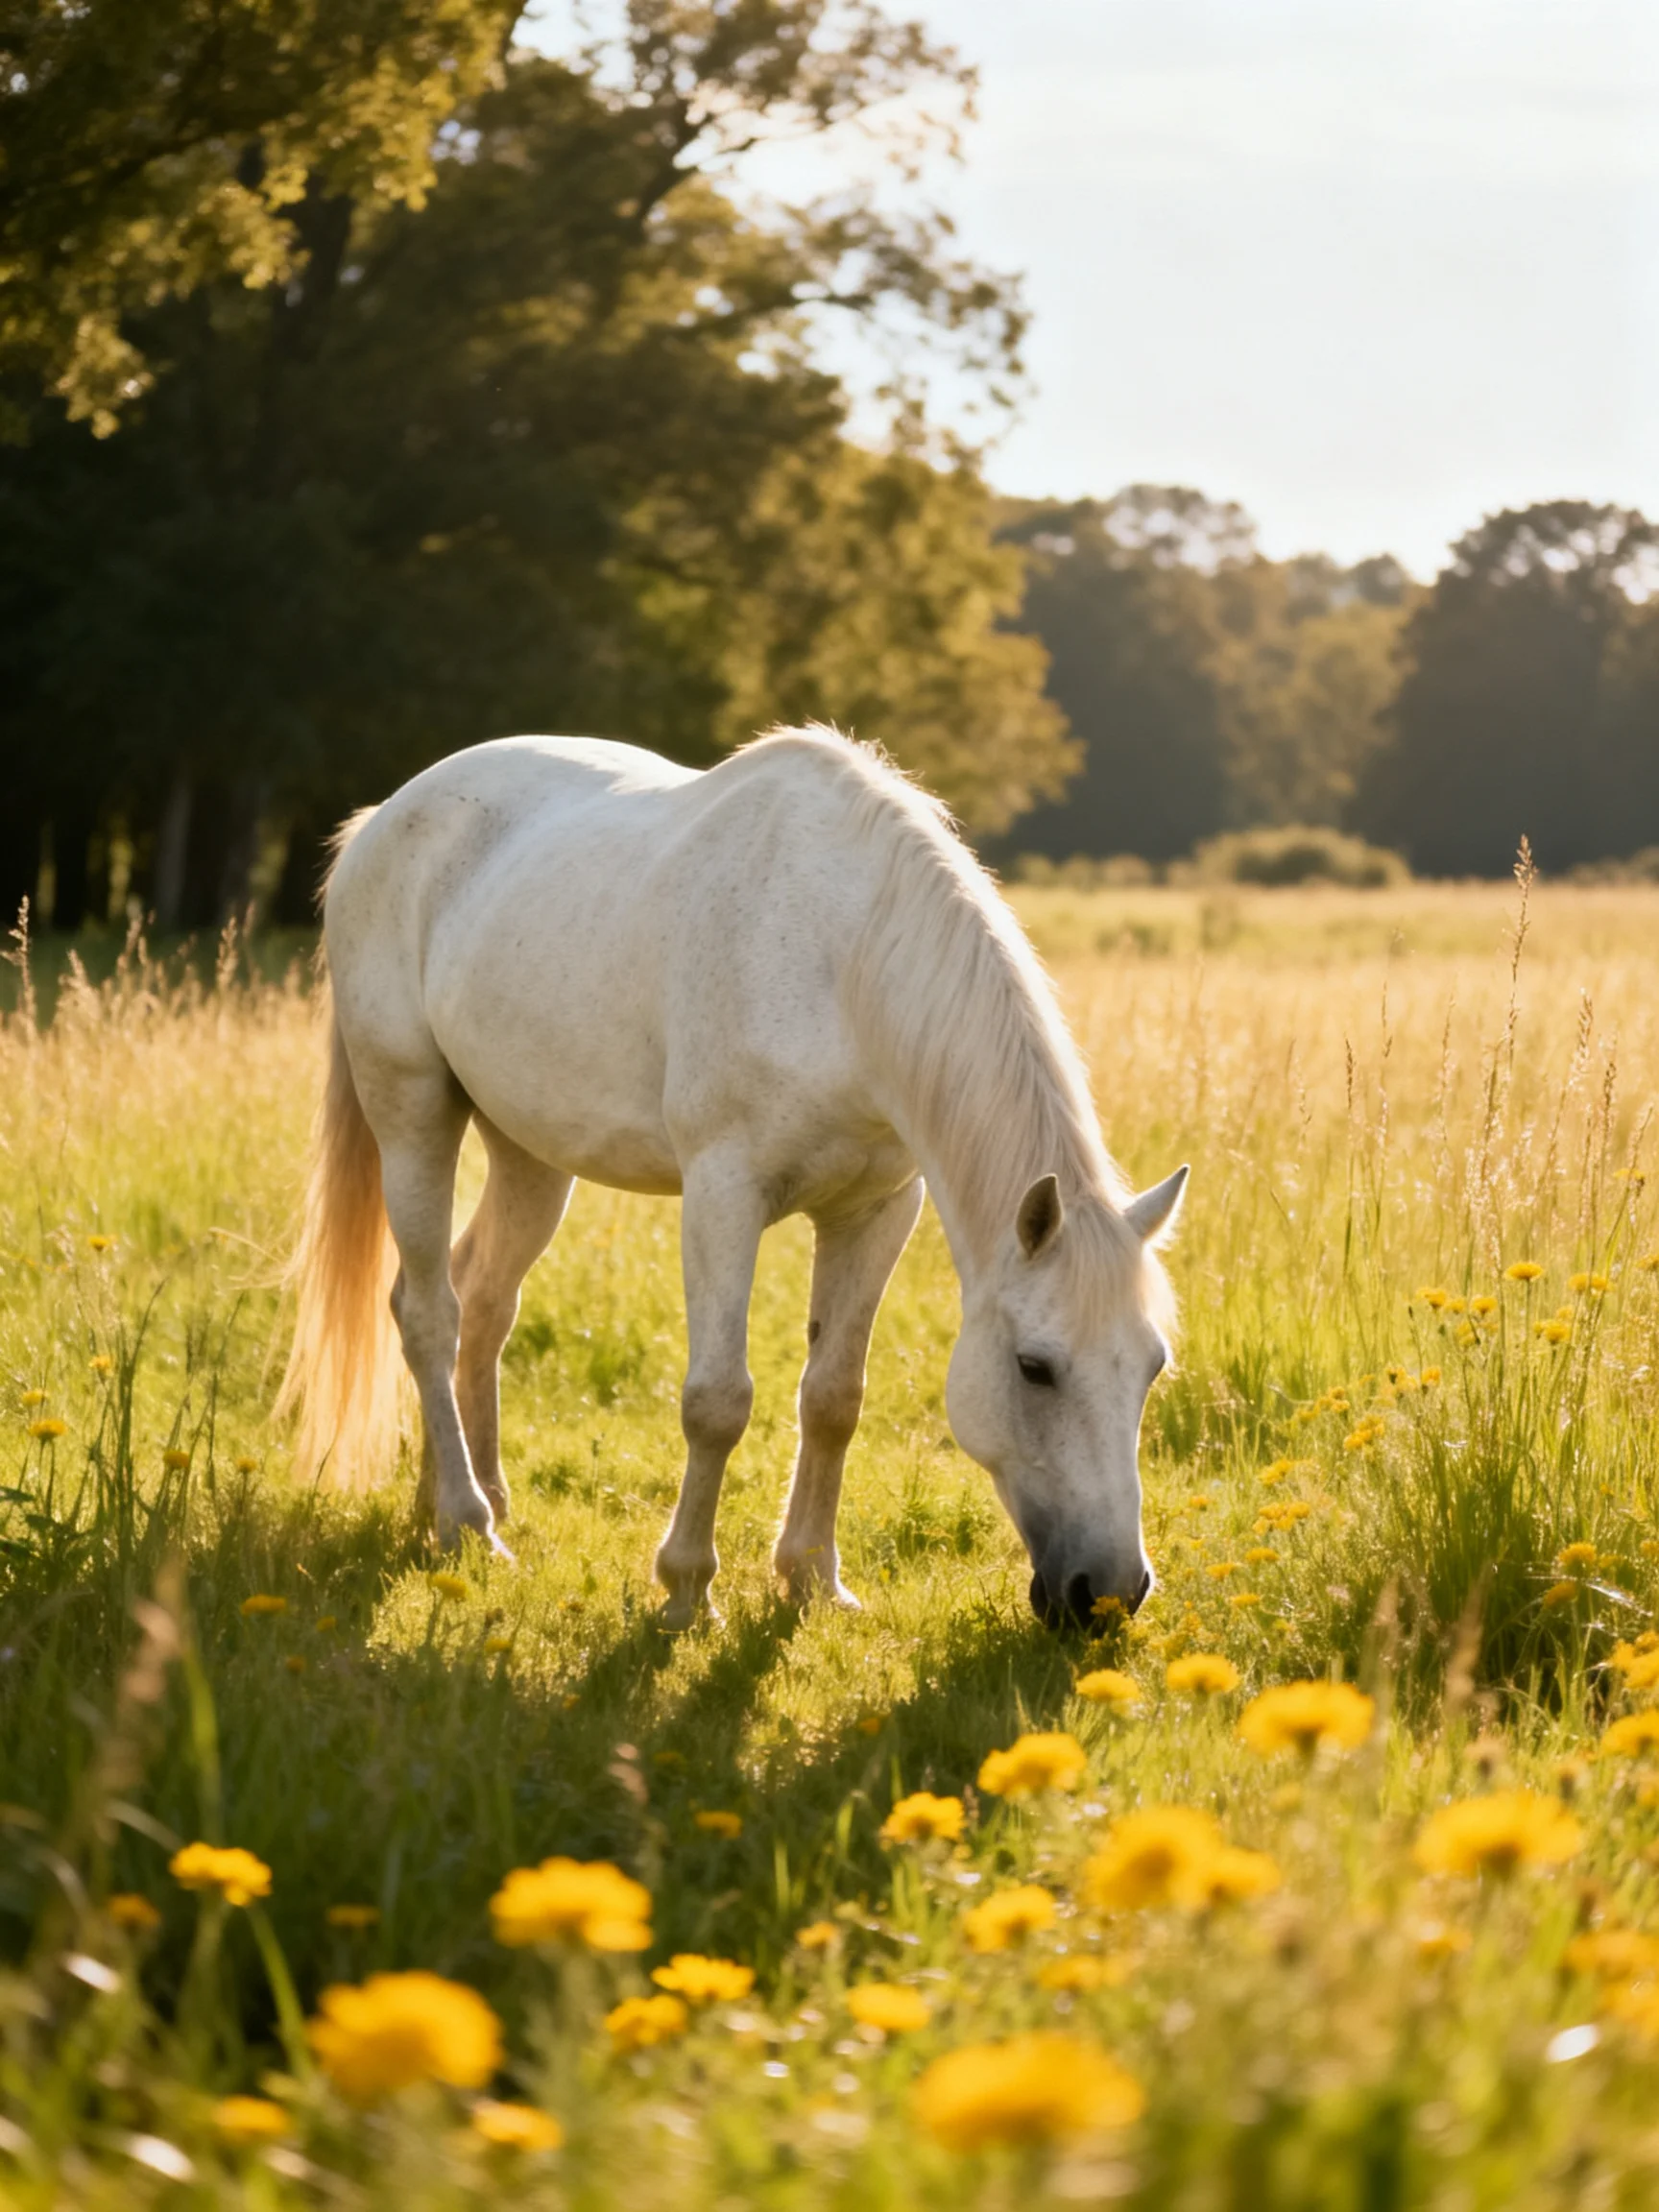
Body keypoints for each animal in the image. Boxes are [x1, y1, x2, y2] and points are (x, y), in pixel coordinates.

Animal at [278, 727, 1187, 1629]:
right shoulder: (724, 1195)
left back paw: (456, 1499)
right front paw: (687, 1590)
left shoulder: (877, 1210)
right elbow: (717, 1402)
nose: (1108, 1594)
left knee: (484, 1299)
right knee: (428, 1311)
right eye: (1035, 1367)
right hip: (413, 1113)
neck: (842, 961)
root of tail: (380, 822)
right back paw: (467, 1523)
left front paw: (813, 1577)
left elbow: (834, 1397)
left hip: (530, 1153)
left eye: (1152, 1366)